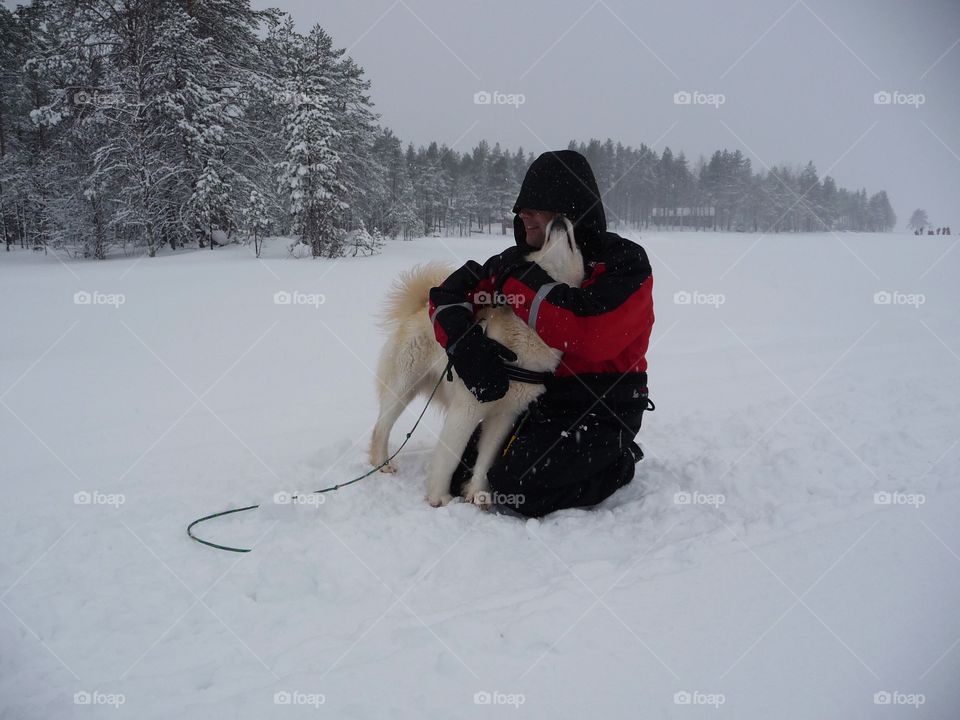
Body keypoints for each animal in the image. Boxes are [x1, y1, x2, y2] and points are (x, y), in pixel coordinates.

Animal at [370, 217, 584, 510]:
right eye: (541, 245)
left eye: (576, 245)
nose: (560, 218)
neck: (528, 335)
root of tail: (418, 310)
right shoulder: (467, 408)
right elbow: (449, 457)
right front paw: (439, 497)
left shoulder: (504, 416)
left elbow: (487, 458)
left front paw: (479, 495)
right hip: (403, 388)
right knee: (381, 427)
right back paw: (381, 464)